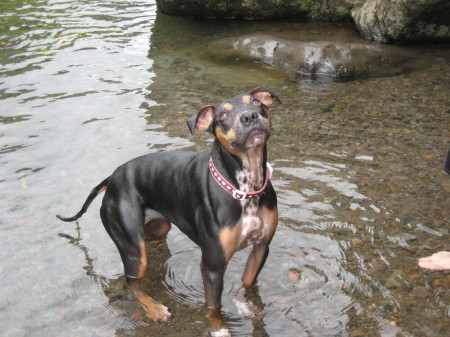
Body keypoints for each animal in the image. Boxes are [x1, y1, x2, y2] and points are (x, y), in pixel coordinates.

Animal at [56, 86, 282, 334]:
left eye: (256, 103)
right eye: (223, 115)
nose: (250, 116)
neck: (245, 186)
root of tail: (112, 178)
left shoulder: (261, 248)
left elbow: (248, 284)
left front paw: (248, 307)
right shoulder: (212, 266)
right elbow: (214, 307)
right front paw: (218, 329)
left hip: (157, 228)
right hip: (133, 248)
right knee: (131, 283)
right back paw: (154, 309)